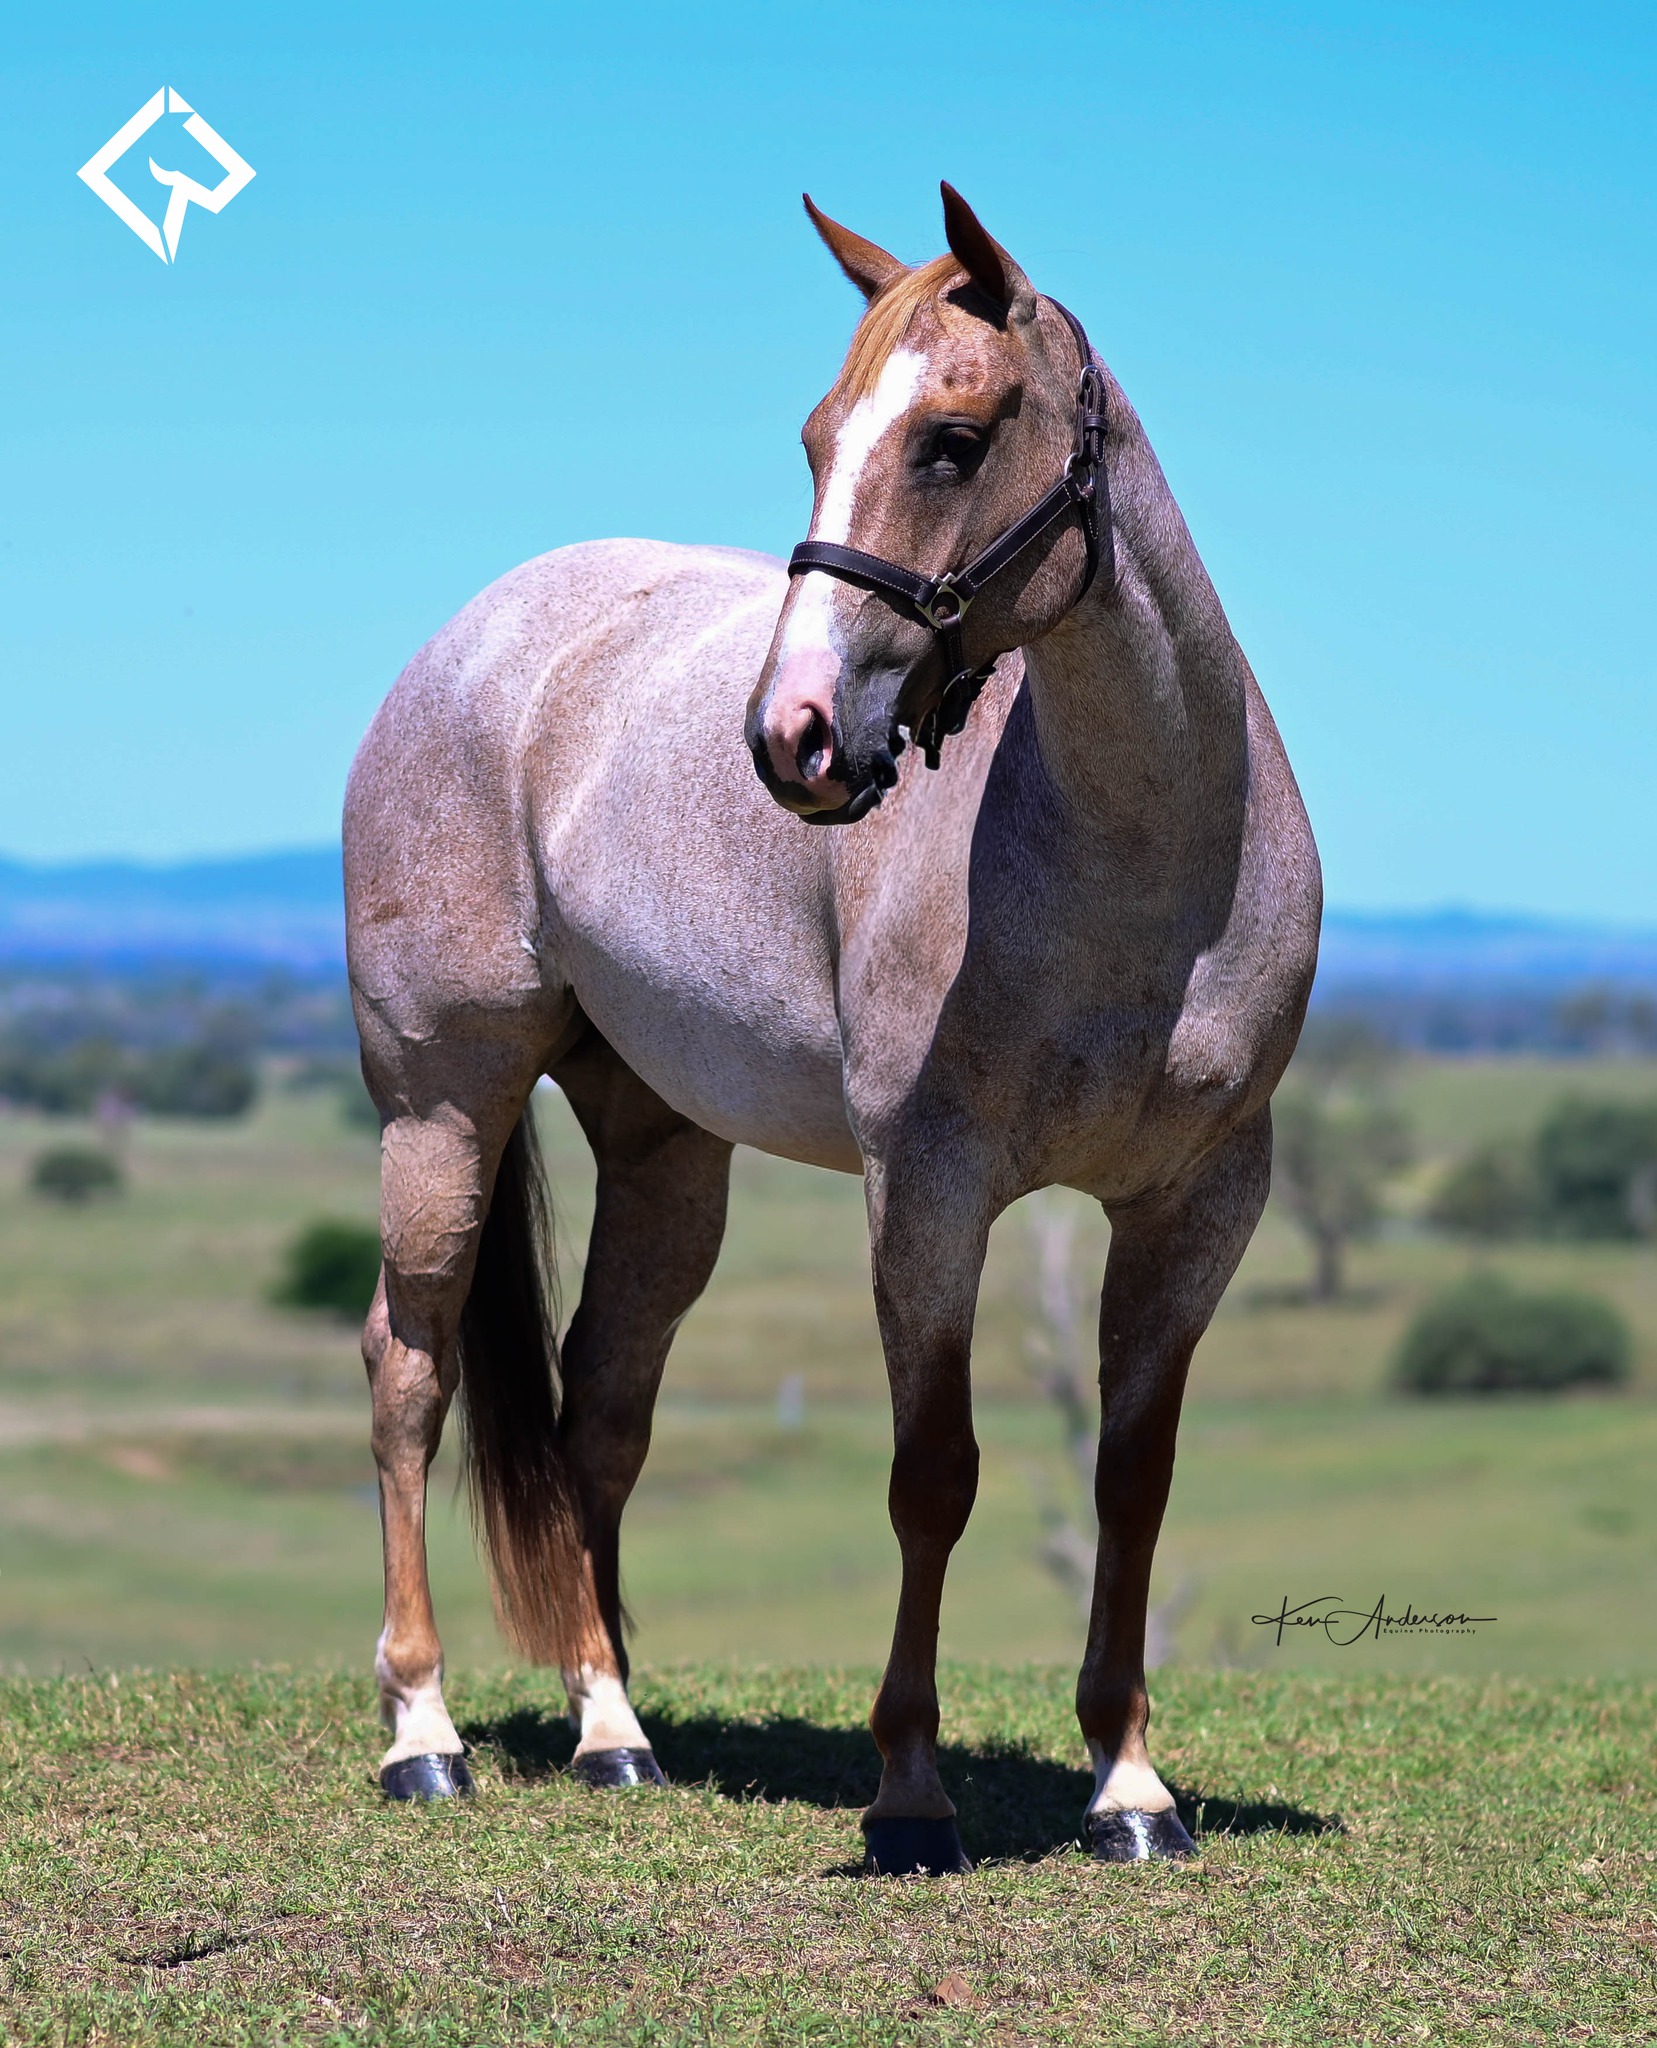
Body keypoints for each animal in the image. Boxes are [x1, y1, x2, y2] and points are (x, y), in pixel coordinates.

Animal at [343, 183, 1320, 1874]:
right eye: (817, 435)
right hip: (441, 1112)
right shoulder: (926, 1190)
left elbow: (1129, 1479)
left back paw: (614, 1729)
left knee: (602, 1412)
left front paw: (1128, 1785)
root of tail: (475, 644)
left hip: (665, 1154)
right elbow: (935, 1476)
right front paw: (910, 1789)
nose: (790, 735)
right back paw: (426, 1735)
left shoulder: (1199, 1204)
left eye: (952, 439)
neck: (1140, 877)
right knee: (409, 1374)